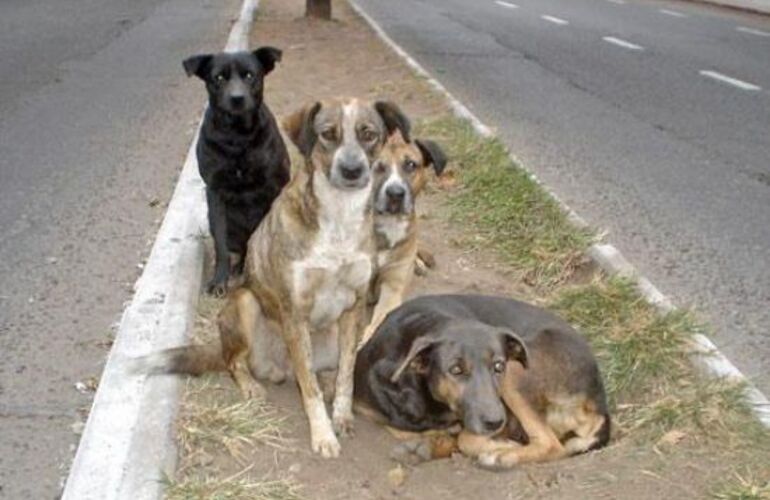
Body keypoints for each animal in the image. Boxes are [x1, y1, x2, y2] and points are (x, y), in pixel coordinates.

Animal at [183, 46, 292, 294]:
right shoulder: (215, 192)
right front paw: (219, 280)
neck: (237, 136)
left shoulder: (273, 186)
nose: (237, 98)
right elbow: (221, 244)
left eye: (250, 75)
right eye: (219, 78)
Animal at [354, 292, 612, 468]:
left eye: (498, 366)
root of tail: (600, 403)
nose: (495, 422)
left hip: (516, 374)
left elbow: (466, 439)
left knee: (551, 444)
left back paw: (502, 455)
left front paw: (498, 447)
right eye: (456, 370)